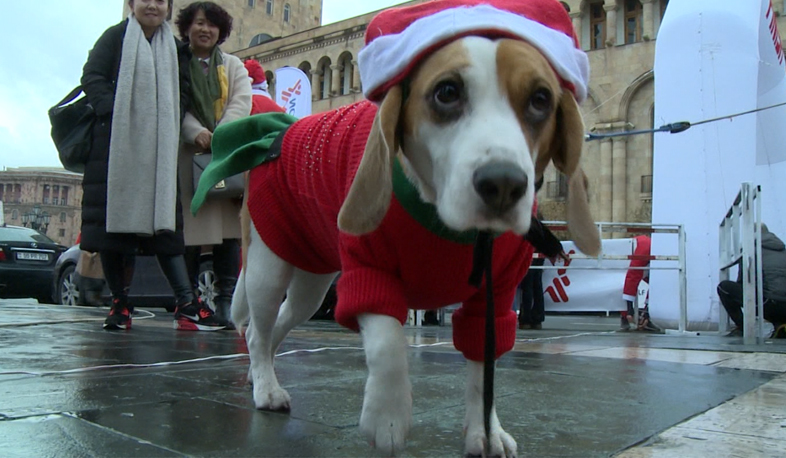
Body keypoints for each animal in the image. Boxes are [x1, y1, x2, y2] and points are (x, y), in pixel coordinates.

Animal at [230, 36, 596, 458]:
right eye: (447, 92)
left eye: (540, 99)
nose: (503, 184)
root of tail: (277, 135)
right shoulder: (368, 273)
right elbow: (388, 346)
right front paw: (386, 418)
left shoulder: (496, 295)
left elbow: (483, 368)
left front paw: (485, 430)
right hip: (266, 270)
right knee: (256, 332)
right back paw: (266, 387)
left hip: (312, 286)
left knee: (275, 328)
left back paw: (261, 373)